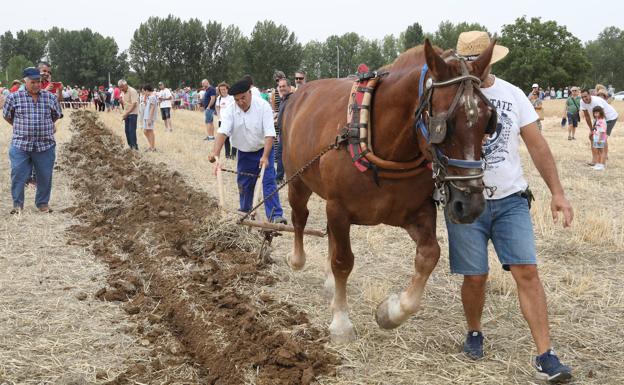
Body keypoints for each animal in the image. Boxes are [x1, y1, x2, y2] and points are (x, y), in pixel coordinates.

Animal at [282, 39, 498, 342]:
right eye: (444, 124)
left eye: (488, 120)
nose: (470, 205)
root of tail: (299, 93)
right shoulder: (338, 208)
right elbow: (343, 261)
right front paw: (341, 321)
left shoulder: (416, 210)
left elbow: (430, 254)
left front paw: (390, 312)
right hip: (297, 179)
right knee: (300, 217)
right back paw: (297, 259)